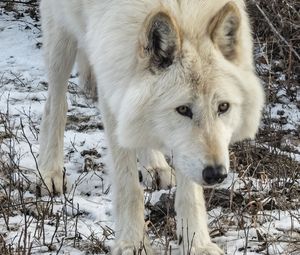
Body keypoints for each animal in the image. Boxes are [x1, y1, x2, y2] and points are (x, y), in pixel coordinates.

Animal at [38, 0, 264, 253]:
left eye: (223, 107)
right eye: (183, 109)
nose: (216, 174)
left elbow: (190, 195)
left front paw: (197, 244)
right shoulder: (111, 87)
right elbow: (128, 186)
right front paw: (132, 243)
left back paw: (156, 167)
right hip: (60, 36)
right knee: (55, 104)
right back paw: (50, 172)